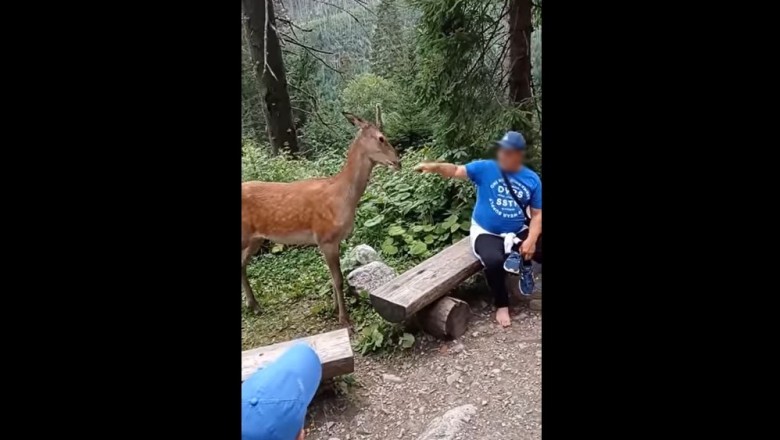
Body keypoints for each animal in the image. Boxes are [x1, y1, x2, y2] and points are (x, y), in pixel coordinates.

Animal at [241, 106, 400, 326]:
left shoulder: (334, 240)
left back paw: (254, 305)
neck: (341, 197)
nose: (398, 162)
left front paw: (334, 309)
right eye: (381, 138)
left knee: (241, 264)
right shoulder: (325, 237)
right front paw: (344, 319)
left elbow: (333, 278)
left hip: (255, 238)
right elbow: (338, 280)